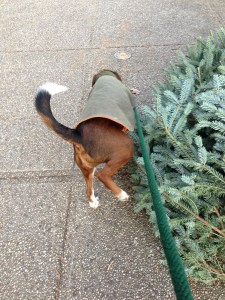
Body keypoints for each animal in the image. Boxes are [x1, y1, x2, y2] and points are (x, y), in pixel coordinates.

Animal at [34, 69, 134, 209]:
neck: (106, 76)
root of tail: (78, 134)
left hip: (87, 168)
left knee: (89, 190)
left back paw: (93, 202)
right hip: (126, 147)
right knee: (103, 175)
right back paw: (121, 195)